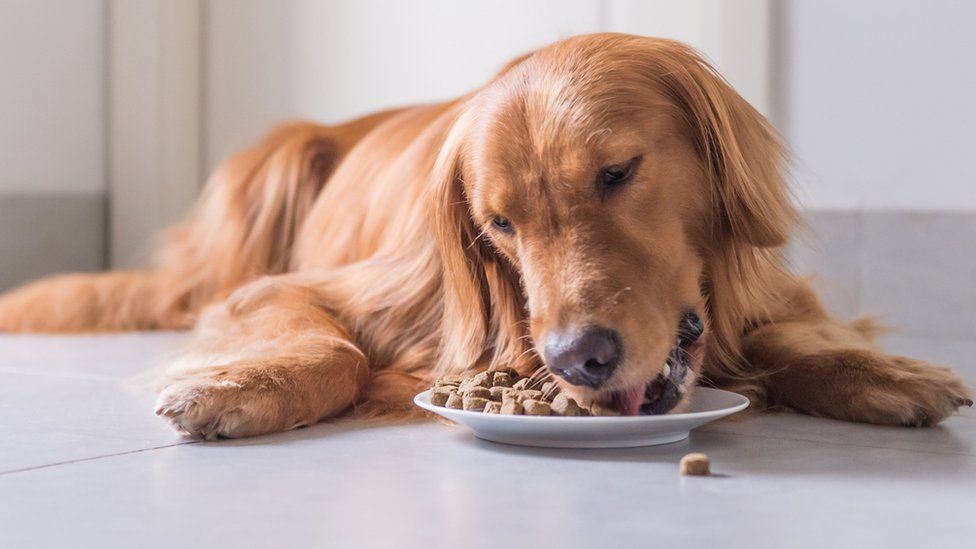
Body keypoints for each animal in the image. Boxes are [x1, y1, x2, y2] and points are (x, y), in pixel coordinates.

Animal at [3, 33, 972, 436]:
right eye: (498, 224)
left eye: (617, 172)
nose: (581, 357)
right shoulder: (297, 288)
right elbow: (335, 346)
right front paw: (241, 385)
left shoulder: (768, 287)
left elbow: (799, 332)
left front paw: (886, 373)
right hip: (267, 172)